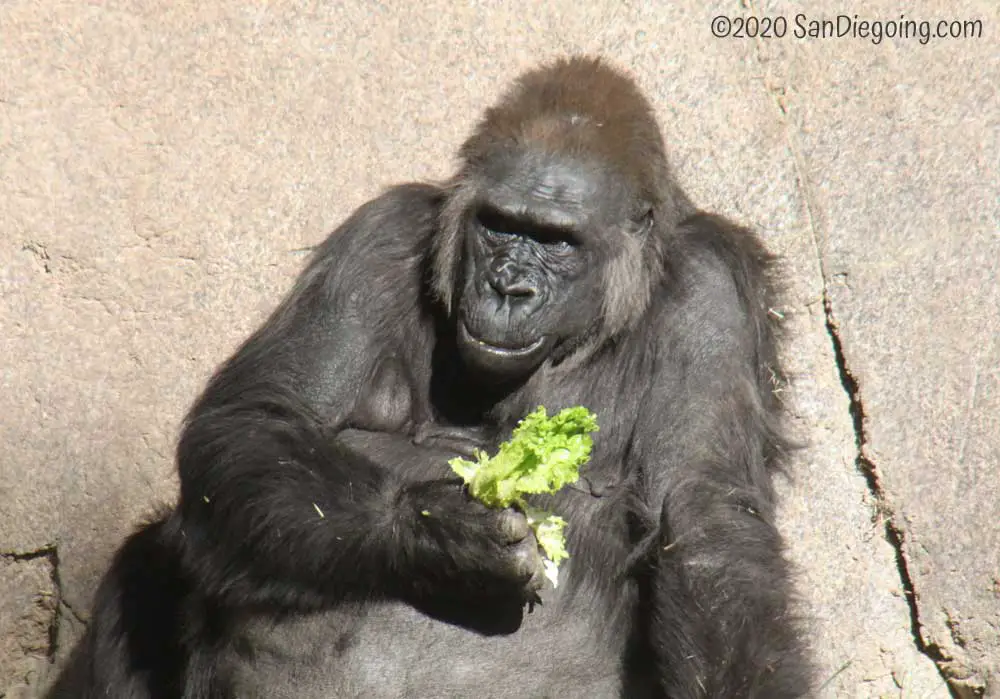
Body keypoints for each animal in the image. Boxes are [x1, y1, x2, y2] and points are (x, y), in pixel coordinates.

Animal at [48, 58, 812, 699]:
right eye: (500, 226)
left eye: (558, 241)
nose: (508, 289)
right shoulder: (382, 236)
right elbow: (258, 417)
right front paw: (438, 533)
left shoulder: (712, 292)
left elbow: (706, 527)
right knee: (159, 551)